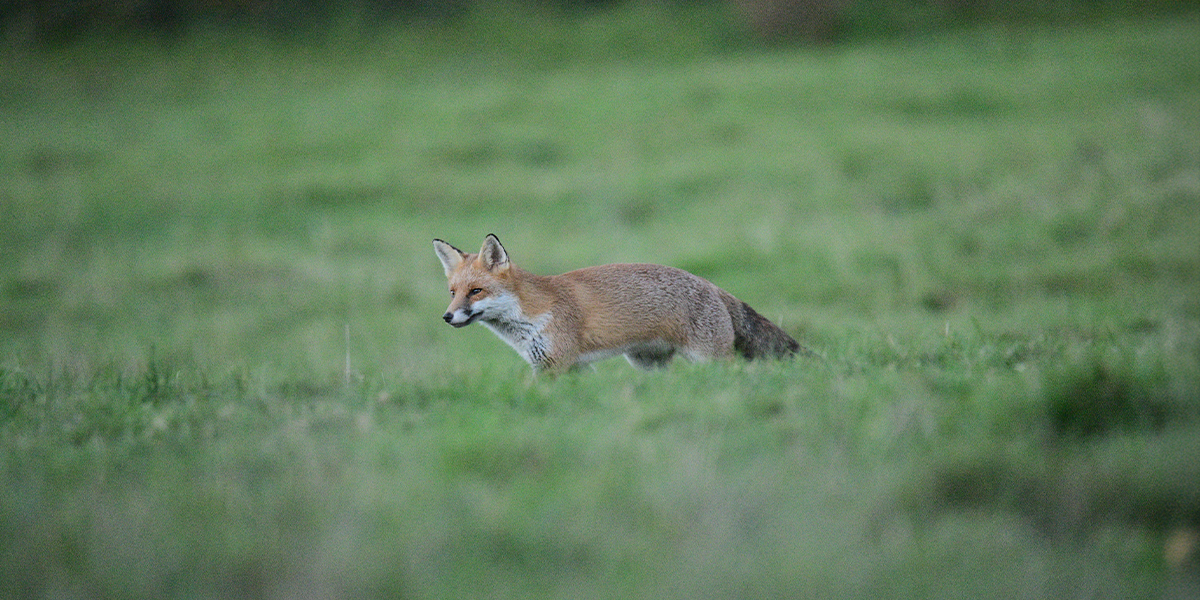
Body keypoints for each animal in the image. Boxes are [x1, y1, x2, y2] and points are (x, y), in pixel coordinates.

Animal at [433, 234, 805, 373]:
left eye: (476, 291)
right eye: (453, 292)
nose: (447, 317)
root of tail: (711, 285)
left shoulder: (557, 361)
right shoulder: (569, 367)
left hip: (710, 360)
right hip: (647, 364)